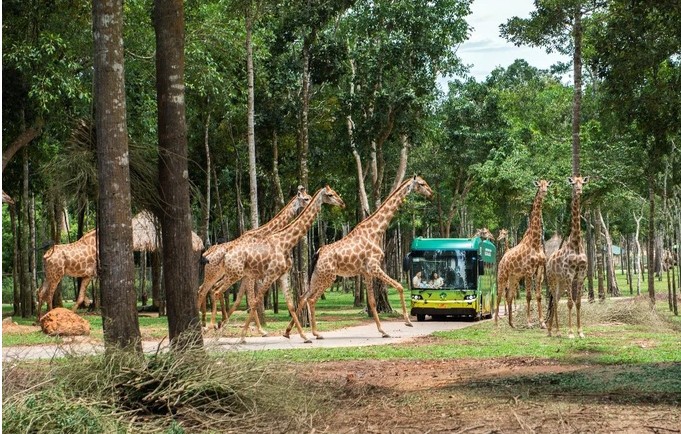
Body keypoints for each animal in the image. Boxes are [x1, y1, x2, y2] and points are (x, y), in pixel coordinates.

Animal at [195, 186, 310, 326]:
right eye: (306, 198)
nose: (312, 201)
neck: (261, 233)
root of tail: (206, 254)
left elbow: (247, 299)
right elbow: (251, 299)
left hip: (221, 275)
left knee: (208, 289)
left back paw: (209, 322)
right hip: (215, 274)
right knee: (204, 290)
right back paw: (205, 323)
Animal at [209, 185, 346, 338]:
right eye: (330, 194)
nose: (342, 204)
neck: (284, 242)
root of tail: (224, 253)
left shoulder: (278, 274)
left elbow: (288, 303)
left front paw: (300, 335)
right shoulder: (266, 275)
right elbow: (254, 300)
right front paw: (248, 333)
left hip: (233, 275)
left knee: (215, 291)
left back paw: (217, 325)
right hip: (231, 274)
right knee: (213, 291)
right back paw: (211, 326)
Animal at [284, 175, 432, 340]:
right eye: (421, 184)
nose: (431, 193)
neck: (376, 231)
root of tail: (318, 253)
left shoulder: (366, 271)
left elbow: (373, 302)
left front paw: (383, 331)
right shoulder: (374, 266)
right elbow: (399, 286)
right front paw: (407, 321)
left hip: (317, 275)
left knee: (304, 296)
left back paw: (289, 332)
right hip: (328, 276)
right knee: (311, 299)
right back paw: (315, 333)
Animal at [494, 181, 552, 328]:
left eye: (547, 185)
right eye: (539, 186)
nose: (544, 192)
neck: (535, 242)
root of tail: (502, 260)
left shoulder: (539, 269)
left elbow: (538, 296)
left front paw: (542, 323)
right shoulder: (528, 271)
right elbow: (528, 296)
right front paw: (529, 323)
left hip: (514, 277)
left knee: (509, 296)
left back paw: (511, 323)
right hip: (502, 275)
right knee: (499, 295)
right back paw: (496, 322)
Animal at [544, 176, 588, 340]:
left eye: (582, 183)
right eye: (573, 183)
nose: (579, 190)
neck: (576, 243)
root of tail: (548, 261)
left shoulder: (581, 274)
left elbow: (578, 302)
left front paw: (580, 332)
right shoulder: (569, 274)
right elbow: (569, 303)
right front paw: (570, 333)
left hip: (561, 283)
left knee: (555, 300)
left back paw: (552, 330)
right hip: (552, 280)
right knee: (555, 302)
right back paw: (554, 331)